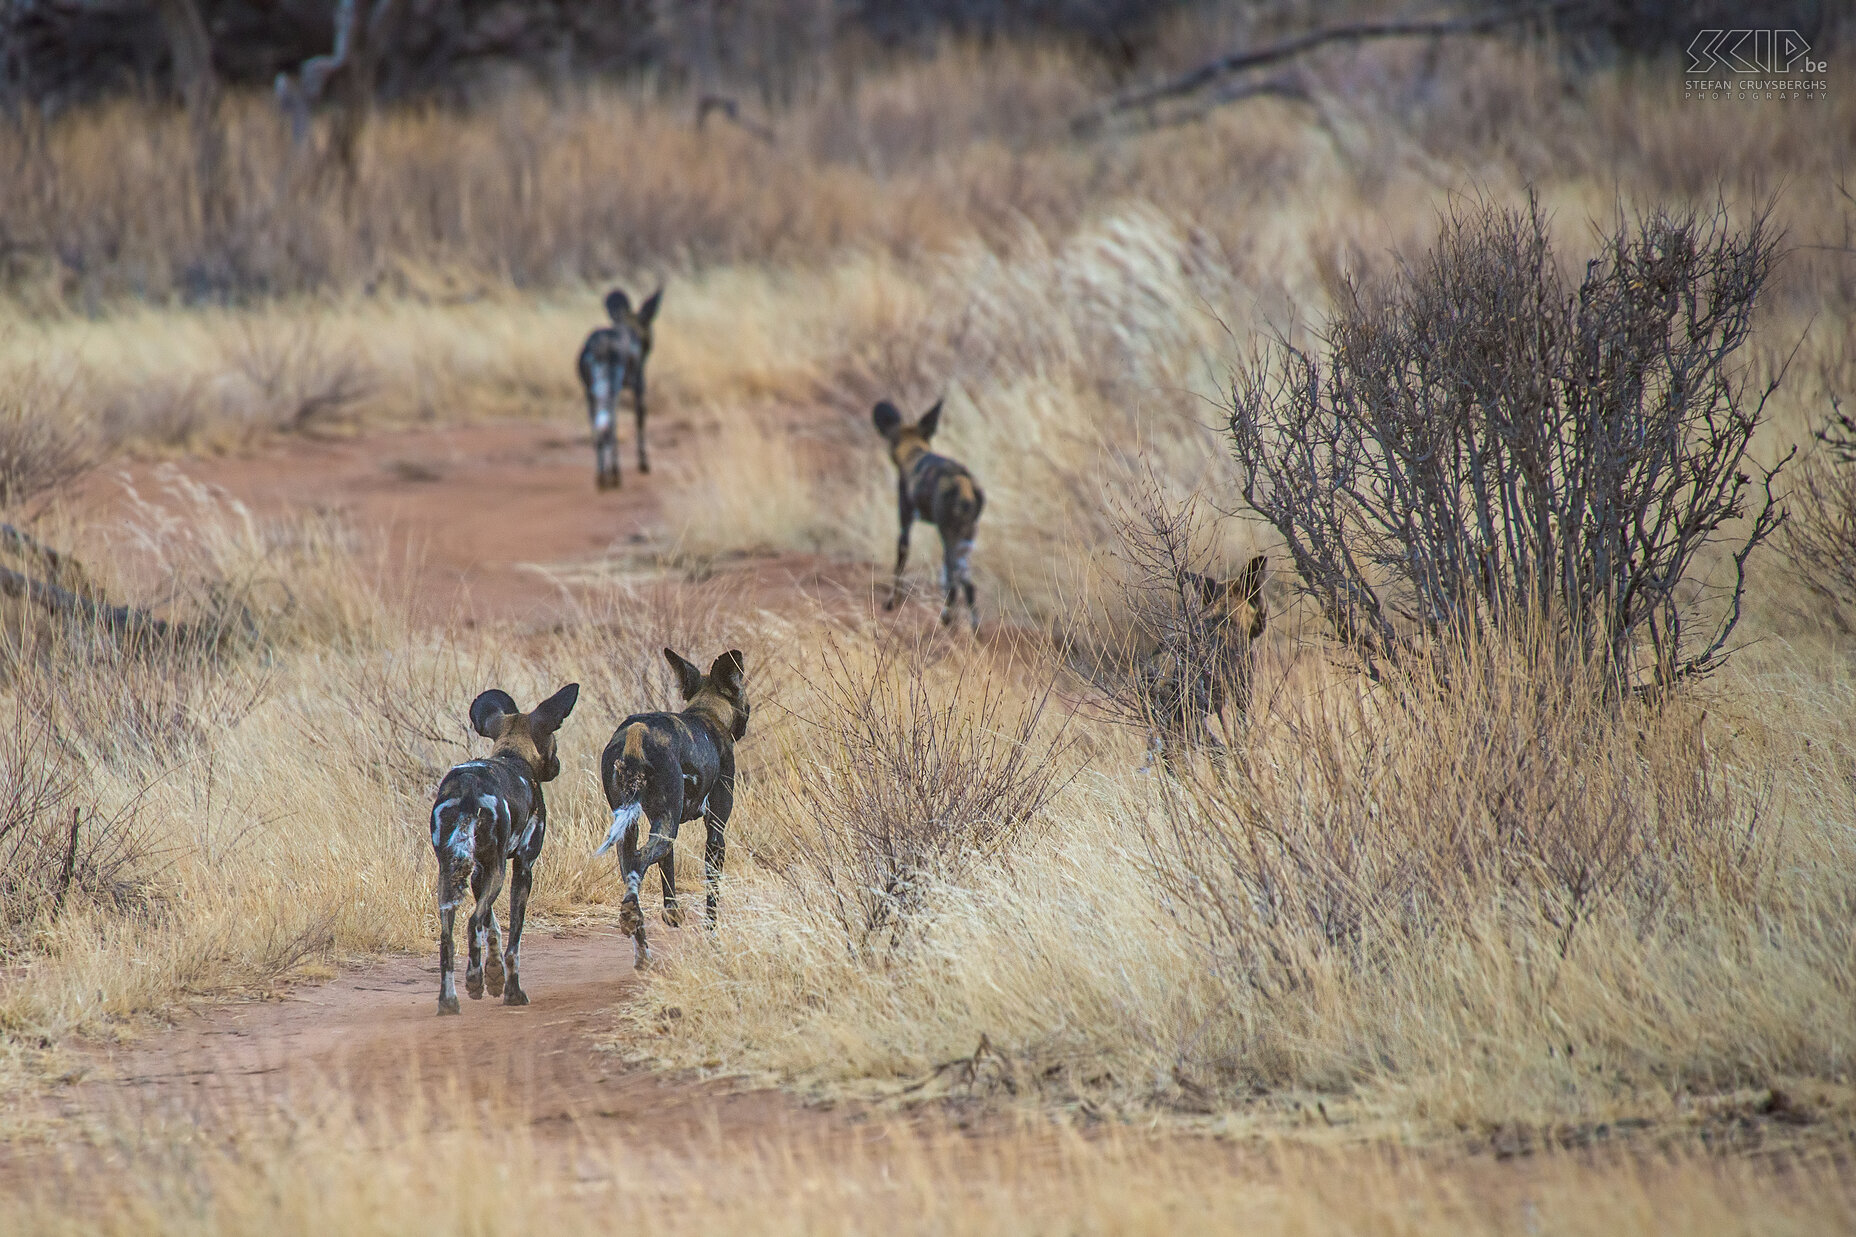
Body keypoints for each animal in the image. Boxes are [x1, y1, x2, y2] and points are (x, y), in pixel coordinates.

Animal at [430, 683, 575, 1010]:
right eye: (555, 740)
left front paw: (494, 976)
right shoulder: (522, 866)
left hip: (450, 873)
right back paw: (473, 980)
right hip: (497, 870)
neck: (513, 755)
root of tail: (467, 789)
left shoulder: (478, 872)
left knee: (448, 938)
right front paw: (512, 992)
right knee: (472, 923)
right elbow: (513, 943)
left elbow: (493, 927)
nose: (558, 766)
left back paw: (449, 1001)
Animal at [582, 284, 671, 486]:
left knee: (597, 429)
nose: (650, 343)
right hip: (611, 392)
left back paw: (601, 475)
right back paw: (615, 474)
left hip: (591, 395)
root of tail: (600, 345)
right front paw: (643, 464)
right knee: (611, 426)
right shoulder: (639, 386)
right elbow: (640, 422)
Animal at [590, 638, 742, 965]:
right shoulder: (716, 831)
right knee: (639, 861)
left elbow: (667, 871)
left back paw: (641, 949)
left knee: (632, 866)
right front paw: (713, 942)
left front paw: (672, 914)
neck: (707, 715)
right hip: (666, 824)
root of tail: (635, 732)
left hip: (636, 827)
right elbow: (712, 898)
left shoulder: (664, 822)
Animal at [872, 395, 987, 627]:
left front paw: (891, 603)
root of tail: (964, 482)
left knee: (953, 583)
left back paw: (947, 620)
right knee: (968, 585)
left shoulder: (905, 524)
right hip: (966, 537)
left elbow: (899, 568)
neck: (914, 451)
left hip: (949, 535)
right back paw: (973, 628)